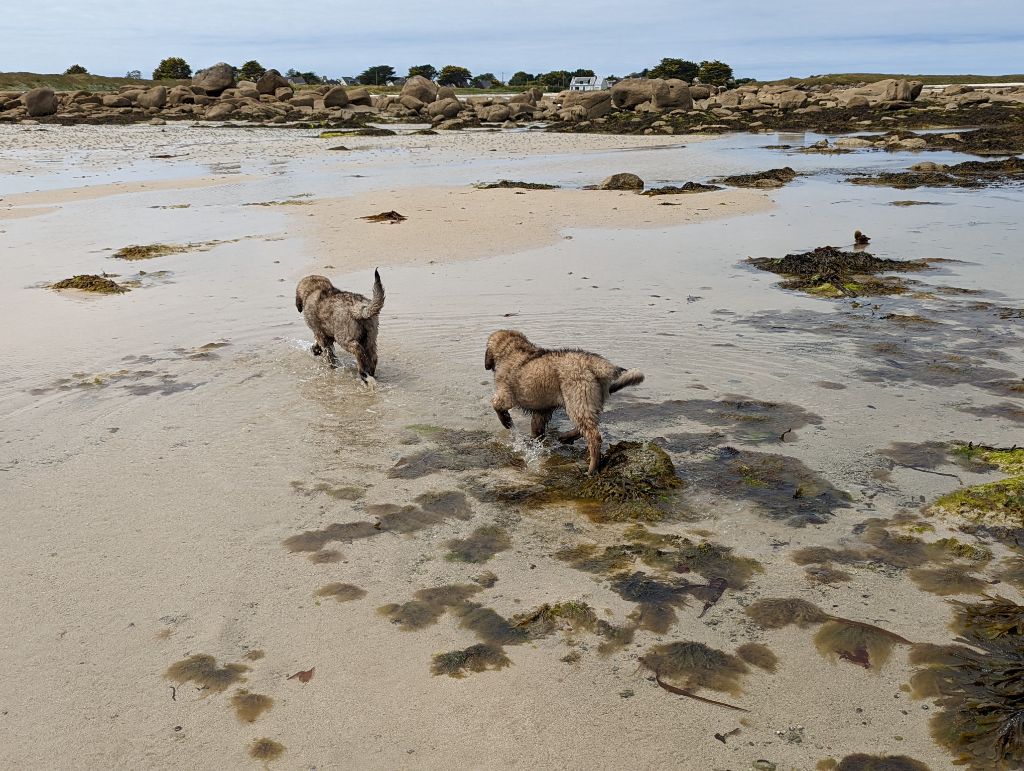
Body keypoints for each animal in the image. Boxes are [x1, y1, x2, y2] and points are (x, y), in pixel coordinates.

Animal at [485, 327, 643, 473]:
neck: (512, 348)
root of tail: (597, 364)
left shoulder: (506, 395)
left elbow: (496, 405)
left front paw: (506, 421)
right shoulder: (542, 411)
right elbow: (536, 427)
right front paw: (534, 441)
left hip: (577, 400)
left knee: (593, 436)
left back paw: (592, 468)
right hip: (590, 402)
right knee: (586, 427)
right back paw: (566, 437)